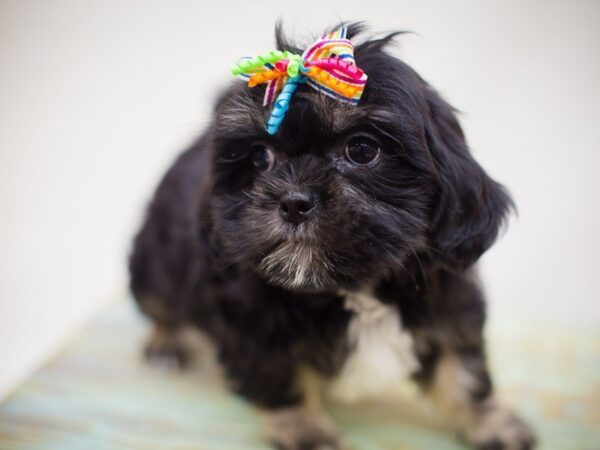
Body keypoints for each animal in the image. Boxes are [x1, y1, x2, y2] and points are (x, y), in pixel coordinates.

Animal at [130, 22, 536, 450]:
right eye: (259, 158)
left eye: (362, 149)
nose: (293, 202)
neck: (353, 288)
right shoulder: (254, 325)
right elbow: (280, 377)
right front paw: (304, 429)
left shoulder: (448, 297)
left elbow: (463, 369)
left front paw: (491, 420)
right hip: (153, 262)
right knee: (161, 305)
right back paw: (164, 344)